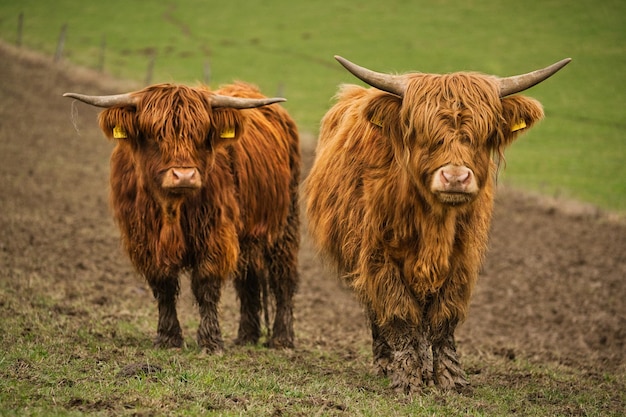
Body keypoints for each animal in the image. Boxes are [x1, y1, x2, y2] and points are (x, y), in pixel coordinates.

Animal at [67, 81, 302, 352]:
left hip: (285, 225)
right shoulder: (145, 241)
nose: (184, 176)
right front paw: (168, 337)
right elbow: (164, 286)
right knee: (249, 281)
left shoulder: (214, 236)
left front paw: (211, 341)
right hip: (249, 234)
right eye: (155, 135)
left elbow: (206, 286)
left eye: (201, 134)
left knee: (283, 278)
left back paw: (282, 339)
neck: (172, 207)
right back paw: (247, 336)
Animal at [304, 56, 568, 394]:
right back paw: (386, 364)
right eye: (422, 133)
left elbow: (444, 317)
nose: (455, 178)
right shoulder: (377, 255)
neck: (434, 223)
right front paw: (407, 379)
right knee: (378, 312)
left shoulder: (462, 259)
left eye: (483, 134)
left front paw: (449, 380)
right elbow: (400, 313)